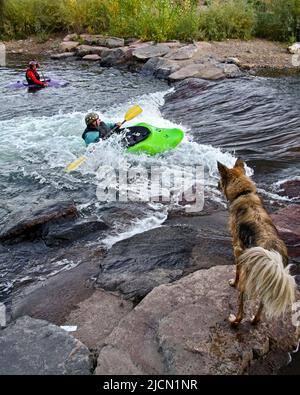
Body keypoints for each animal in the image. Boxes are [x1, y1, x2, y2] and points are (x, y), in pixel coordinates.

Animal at [217, 159, 296, 326]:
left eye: (220, 180)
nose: (216, 184)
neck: (244, 193)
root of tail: (273, 259)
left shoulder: (237, 248)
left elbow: (237, 271)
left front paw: (233, 282)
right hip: (271, 281)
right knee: (262, 305)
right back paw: (255, 320)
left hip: (247, 280)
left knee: (241, 307)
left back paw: (234, 320)